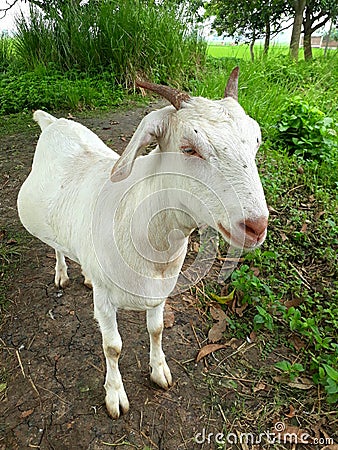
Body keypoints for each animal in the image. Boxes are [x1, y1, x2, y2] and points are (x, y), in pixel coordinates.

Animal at [17, 67, 268, 418]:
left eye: (256, 141)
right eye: (188, 148)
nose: (256, 226)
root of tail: (53, 121)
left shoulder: (161, 290)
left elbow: (157, 329)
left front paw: (159, 370)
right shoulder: (105, 300)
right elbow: (112, 346)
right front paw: (115, 395)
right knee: (56, 245)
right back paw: (62, 273)